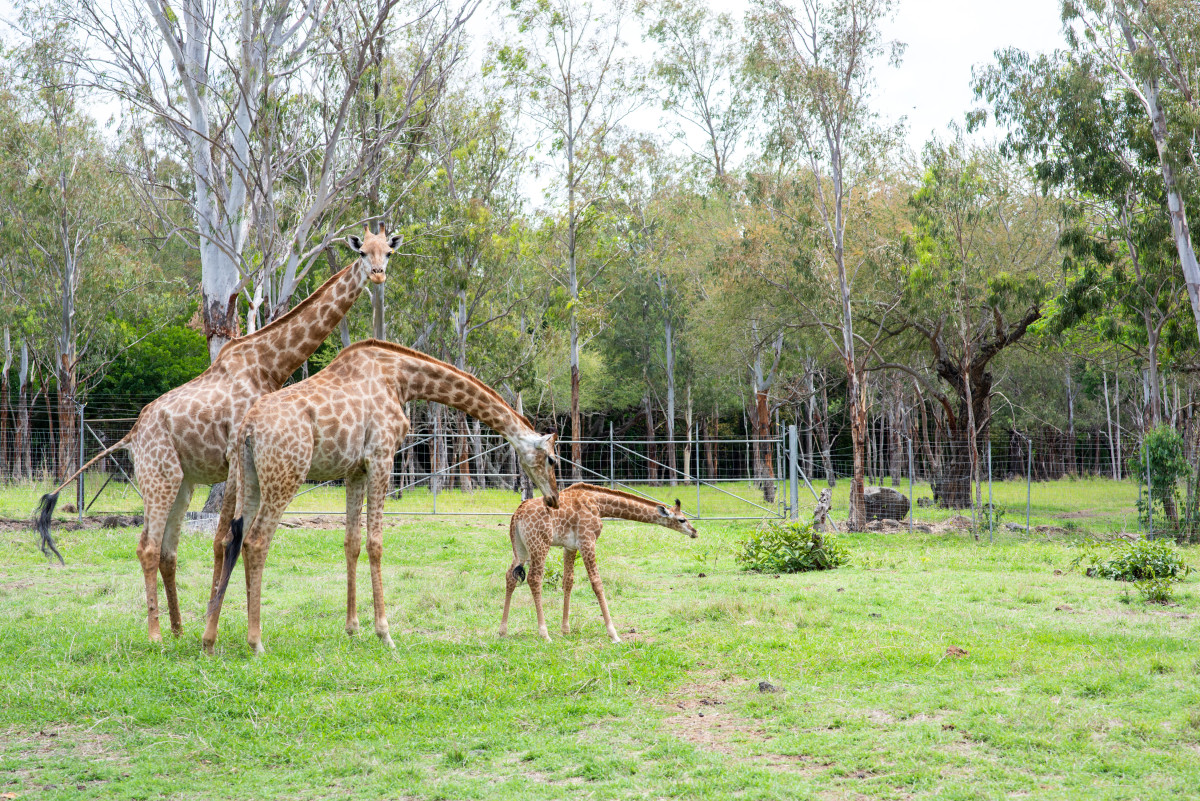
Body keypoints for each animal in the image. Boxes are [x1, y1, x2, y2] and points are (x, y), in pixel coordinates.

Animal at [31, 225, 398, 642]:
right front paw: (226, 628)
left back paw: (178, 629)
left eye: (388, 252)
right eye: (362, 252)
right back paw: (156, 634)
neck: (268, 364)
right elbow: (224, 541)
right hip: (159, 477)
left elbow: (226, 541)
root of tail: (131, 436)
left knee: (167, 551)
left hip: (183, 482)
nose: (378, 274)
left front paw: (223, 625)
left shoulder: (237, 467)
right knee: (147, 547)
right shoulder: (236, 459)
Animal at [204, 340, 559, 652]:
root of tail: (248, 429)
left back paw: (210, 638)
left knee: (231, 539)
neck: (400, 378)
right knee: (256, 541)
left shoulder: (356, 469)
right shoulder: (382, 456)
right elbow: (375, 543)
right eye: (553, 460)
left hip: (249, 476)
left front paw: (352, 628)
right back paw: (255, 642)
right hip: (286, 475)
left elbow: (352, 542)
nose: (554, 498)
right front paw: (384, 634)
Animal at [496, 482, 700, 642]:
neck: (599, 504)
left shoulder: (570, 546)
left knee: (510, 577)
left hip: (521, 548)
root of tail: (516, 515)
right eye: (682, 519)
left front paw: (565, 629)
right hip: (540, 544)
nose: (694, 532)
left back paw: (502, 631)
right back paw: (544, 634)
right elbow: (596, 582)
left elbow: (568, 581)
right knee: (534, 578)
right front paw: (614, 634)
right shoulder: (588, 540)